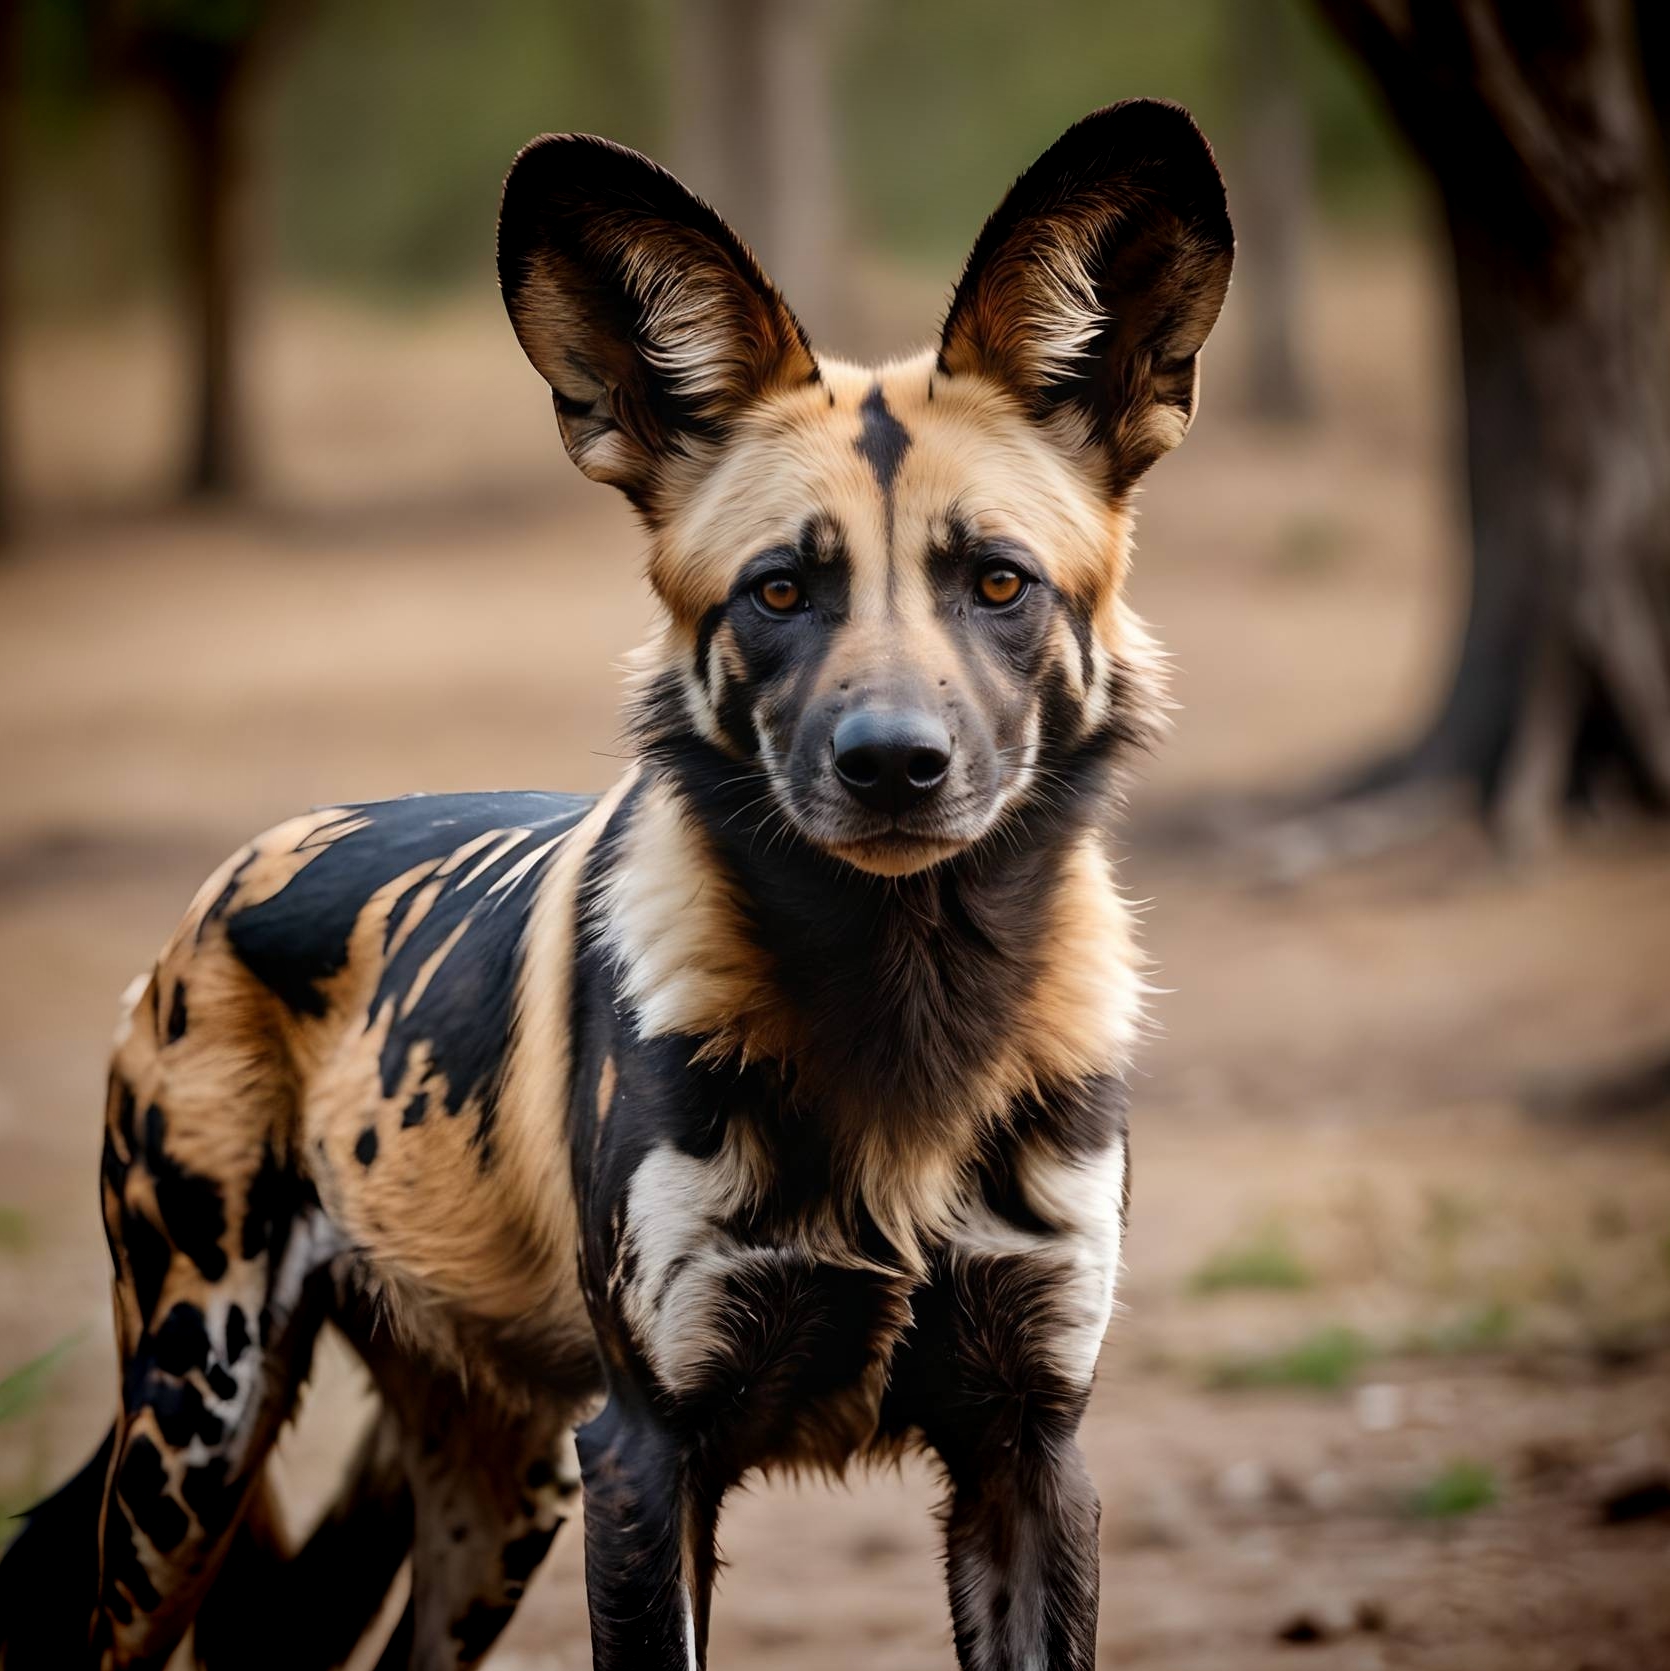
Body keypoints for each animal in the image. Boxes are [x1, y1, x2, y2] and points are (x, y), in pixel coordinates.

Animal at [0, 97, 1230, 1664]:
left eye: (999, 584)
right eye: (779, 590)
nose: (893, 764)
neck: (903, 997)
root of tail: (212, 898)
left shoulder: (1027, 1448)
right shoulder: (650, 1452)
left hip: (495, 1483)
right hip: (194, 1434)